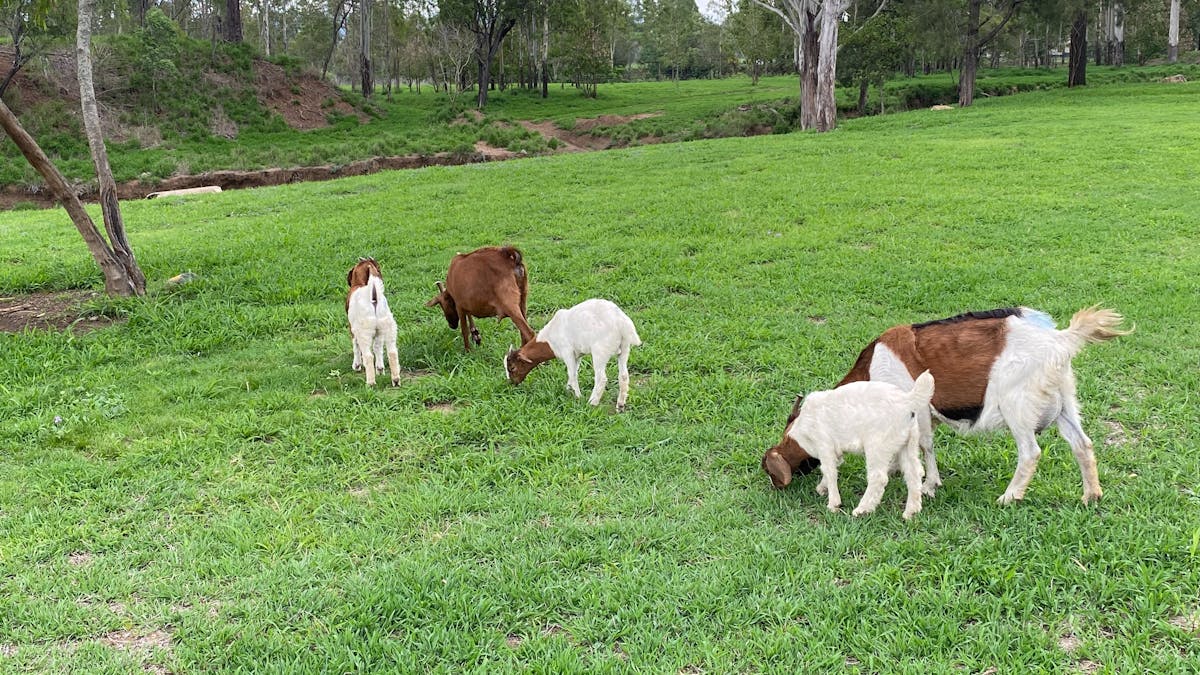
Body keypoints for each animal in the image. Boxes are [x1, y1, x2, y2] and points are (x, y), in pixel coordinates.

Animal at [346, 257, 400, 386]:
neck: (361, 284)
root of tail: (374, 298)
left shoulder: (352, 329)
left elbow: (355, 346)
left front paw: (356, 365)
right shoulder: (379, 333)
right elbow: (378, 347)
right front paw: (380, 369)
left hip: (364, 331)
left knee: (368, 356)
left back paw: (370, 383)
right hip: (389, 327)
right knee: (392, 353)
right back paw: (395, 380)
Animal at [505, 298, 642, 411]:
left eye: (512, 368)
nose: (513, 383)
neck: (550, 339)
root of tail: (622, 323)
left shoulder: (567, 352)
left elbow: (572, 373)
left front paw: (577, 396)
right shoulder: (578, 355)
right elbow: (574, 371)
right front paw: (568, 389)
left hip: (600, 351)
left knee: (601, 378)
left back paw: (592, 402)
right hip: (624, 348)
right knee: (623, 376)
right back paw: (620, 405)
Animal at [788, 371, 935, 519]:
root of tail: (908, 400)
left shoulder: (824, 444)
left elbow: (829, 471)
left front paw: (833, 504)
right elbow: (834, 466)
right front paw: (823, 488)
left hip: (877, 446)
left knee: (878, 478)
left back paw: (863, 509)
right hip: (909, 443)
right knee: (914, 472)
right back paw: (911, 511)